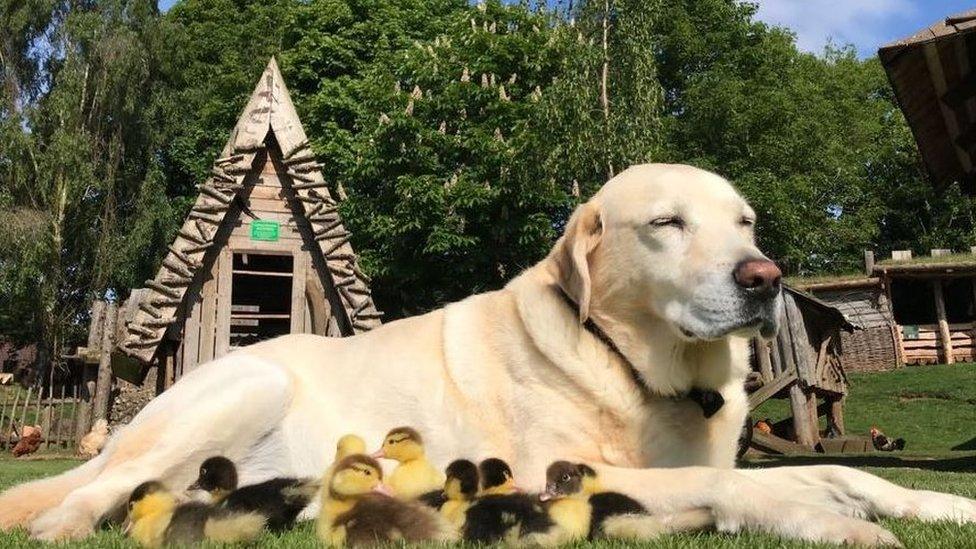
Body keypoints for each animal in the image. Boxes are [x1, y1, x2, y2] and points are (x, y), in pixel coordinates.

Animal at [1, 164, 976, 544]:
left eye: (745, 222)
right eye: (667, 223)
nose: (765, 276)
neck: (639, 370)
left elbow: (851, 471)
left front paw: (932, 504)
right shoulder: (559, 470)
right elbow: (744, 482)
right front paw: (826, 516)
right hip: (246, 383)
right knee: (91, 493)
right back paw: (68, 519)